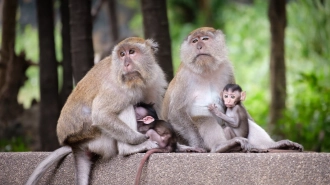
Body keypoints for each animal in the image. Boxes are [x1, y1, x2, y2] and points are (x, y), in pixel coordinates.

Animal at [26, 37, 168, 185]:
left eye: (132, 52)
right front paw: (142, 138)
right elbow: (101, 115)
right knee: (126, 107)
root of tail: (75, 144)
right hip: (99, 140)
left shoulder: (155, 77)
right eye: (122, 54)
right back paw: (129, 148)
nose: (126, 64)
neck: (137, 82)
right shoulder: (115, 88)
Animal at [161, 27, 302, 153]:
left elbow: (238, 105)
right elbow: (176, 112)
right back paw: (221, 146)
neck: (206, 70)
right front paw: (198, 144)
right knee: (204, 119)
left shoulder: (226, 68)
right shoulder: (184, 78)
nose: (199, 47)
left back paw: (271, 145)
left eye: (205, 39)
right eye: (194, 41)